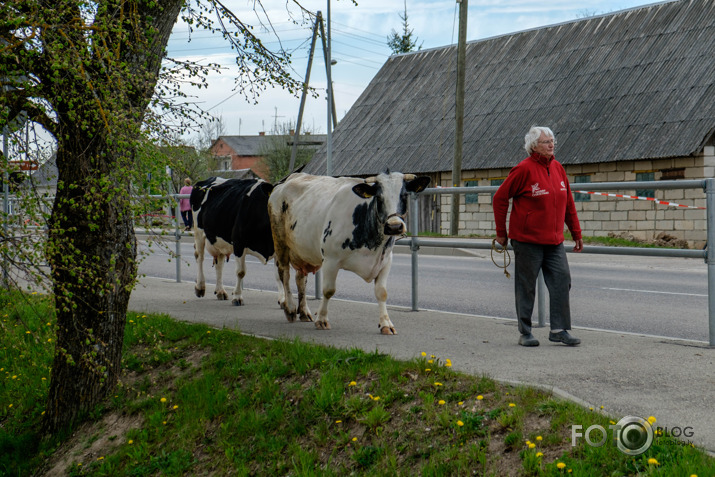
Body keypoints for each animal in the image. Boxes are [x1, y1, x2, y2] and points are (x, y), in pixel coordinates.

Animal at [266, 172, 428, 334]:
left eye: (404, 195)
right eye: (379, 197)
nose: (394, 226)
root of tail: (290, 179)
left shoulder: (386, 261)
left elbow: (382, 292)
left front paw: (386, 324)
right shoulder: (331, 260)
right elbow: (328, 290)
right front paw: (322, 320)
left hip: (303, 251)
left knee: (300, 279)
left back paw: (304, 312)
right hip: (280, 243)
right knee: (284, 274)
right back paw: (290, 309)